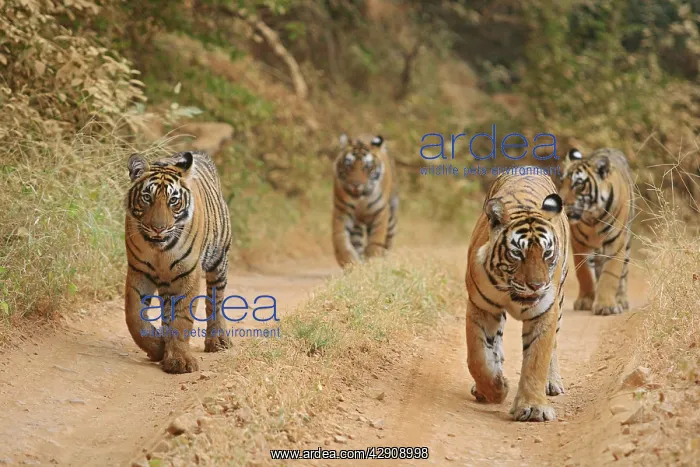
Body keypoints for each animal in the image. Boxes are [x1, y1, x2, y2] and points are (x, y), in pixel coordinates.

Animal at [124, 150, 232, 374]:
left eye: (173, 200)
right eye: (147, 197)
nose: (158, 228)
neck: (160, 251)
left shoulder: (187, 273)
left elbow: (182, 318)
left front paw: (179, 360)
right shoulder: (139, 271)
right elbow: (134, 316)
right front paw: (157, 348)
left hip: (219, 260)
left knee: (216, 300)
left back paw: (217, 340)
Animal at [332, 133, 399, 268]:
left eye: (367, 167)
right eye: (349, 165)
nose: (356, 184)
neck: (362, 200)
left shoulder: (380, 212)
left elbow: (376, 240)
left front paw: (373, 260)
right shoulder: (342, 211)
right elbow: (340, 240)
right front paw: (349, 263)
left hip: (391, 217)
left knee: (389, 239)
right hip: (357, 224)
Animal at [465, 167, 569, 422]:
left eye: (547, 253)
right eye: (517, 253)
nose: (537, 285)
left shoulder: (545, 311)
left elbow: (537, 358)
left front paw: (533, 407)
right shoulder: (481, 306)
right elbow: (478, 357)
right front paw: (496, 388)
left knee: (553, 347)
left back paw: (552, 383)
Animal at [558, 148, 635, 316]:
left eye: (578, 184)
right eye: (562, 182)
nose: (559, 202)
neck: (592, 217)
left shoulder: (615, 243)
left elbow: (610, 275)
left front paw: (606, 306)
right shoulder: (579, 243)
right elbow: (585, 274)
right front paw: (585, 301)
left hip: (626, 244)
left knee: (624, 273)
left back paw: (621, 300)